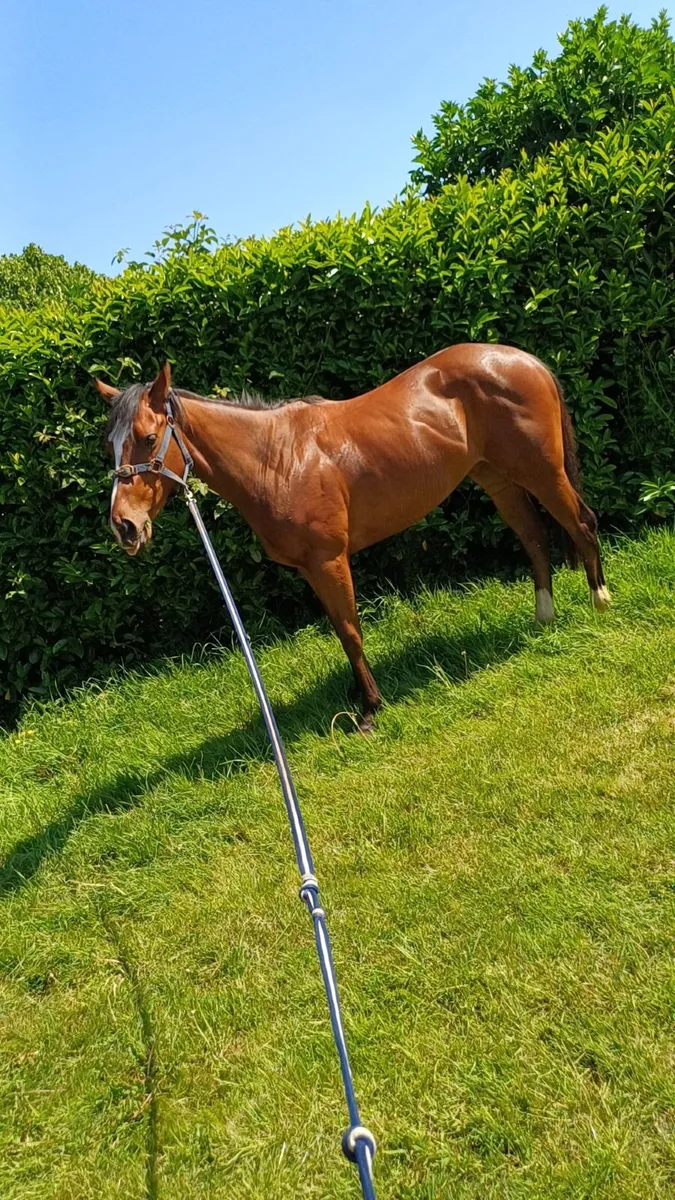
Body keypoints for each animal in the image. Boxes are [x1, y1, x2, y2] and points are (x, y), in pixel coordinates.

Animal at [97, 344, 610, 731]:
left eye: (147, 438)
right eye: (110, 445)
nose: (124, 525)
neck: (277, 458)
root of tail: (524, 359)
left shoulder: (329, 560)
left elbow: (349, 629)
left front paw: (369, 709)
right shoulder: (311, 569)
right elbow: (339, 630)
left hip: (542, 470)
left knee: (581, 523)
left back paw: (600, 601)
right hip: (497, 478)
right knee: (534, 537)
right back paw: (543, 617)